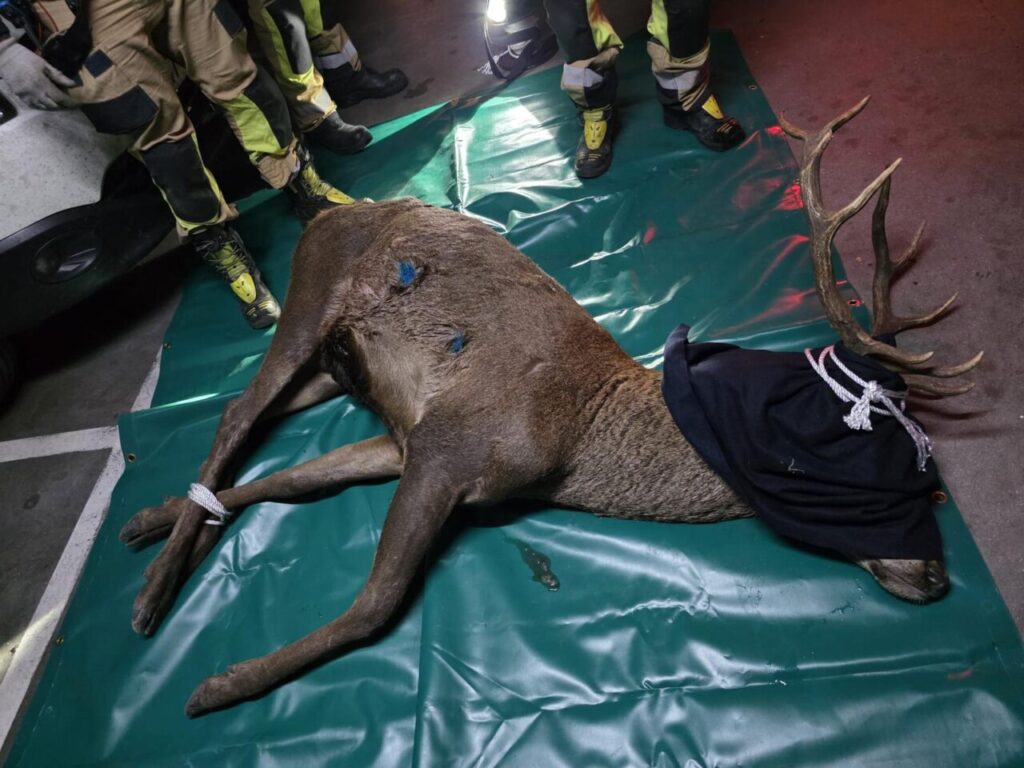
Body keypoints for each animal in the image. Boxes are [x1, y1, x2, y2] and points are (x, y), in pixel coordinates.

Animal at [115, 99, 981, 718]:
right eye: (865, 459)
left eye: (936, 483)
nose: (937, 576)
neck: (574, 443)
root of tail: (330, 213)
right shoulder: (451, 447)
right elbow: (377, 601)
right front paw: (220, 685)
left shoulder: (409, 438)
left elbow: (298, 482)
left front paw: (170, 541)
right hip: (309, 297)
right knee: (238, 412)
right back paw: (152, 600)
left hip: (333, 372)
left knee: (262, 438)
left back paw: (156, 531)